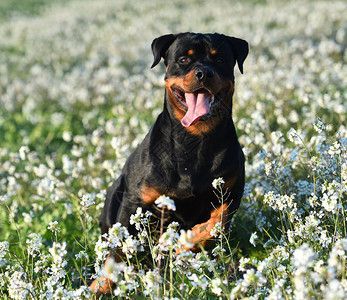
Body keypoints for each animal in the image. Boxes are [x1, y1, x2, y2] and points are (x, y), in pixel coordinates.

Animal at [89, 32, 247, 296]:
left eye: (220, 59)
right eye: (184, 59)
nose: (204, 73)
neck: (194, 140)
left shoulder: (232, 193)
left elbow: (216, 223)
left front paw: (182, 244)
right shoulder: (133, 201)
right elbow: (117, 252)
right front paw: (100, 286)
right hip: (115, 193)